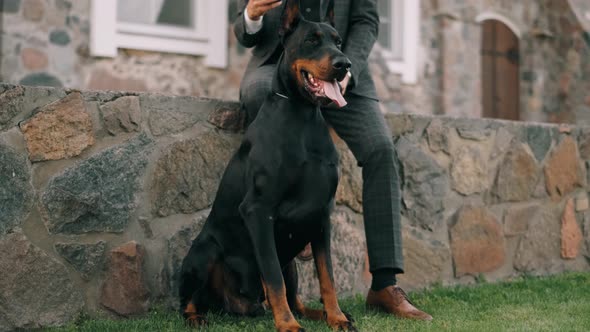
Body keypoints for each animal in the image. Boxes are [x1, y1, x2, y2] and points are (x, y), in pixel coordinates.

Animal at [178, 1, 356, 330]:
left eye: (338, 42)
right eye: (311, 40)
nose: (344, 65)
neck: (302, 116)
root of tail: (235, 305)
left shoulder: (321, 213)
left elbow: (327, 276)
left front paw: (337, 317)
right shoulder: (258, 210)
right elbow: (273, 279)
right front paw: (287, 325)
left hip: (292, 260)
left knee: (297, 298)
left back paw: (319, 314)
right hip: (204, 251)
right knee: (187, 299)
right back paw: (196, 317)